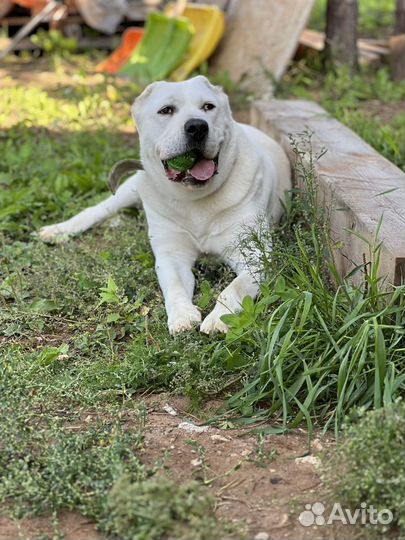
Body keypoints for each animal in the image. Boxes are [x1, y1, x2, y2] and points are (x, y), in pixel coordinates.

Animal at [39, 77, 288, 334]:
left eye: (208, 107)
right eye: (166, 110)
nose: (197, 126)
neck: (195, 199)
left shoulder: (253, 256)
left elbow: (235, 287)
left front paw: (220, 317)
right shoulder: (171, 256)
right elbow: (175, 286)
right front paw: (182, 315)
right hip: (132, 186)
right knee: (100, 209)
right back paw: (59, 230)